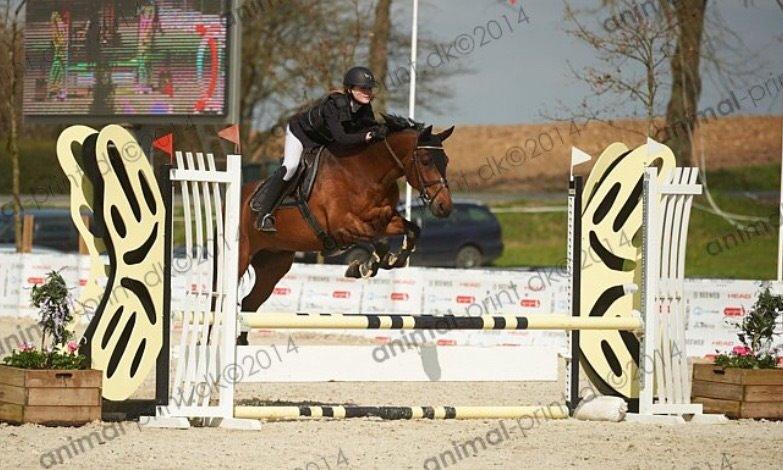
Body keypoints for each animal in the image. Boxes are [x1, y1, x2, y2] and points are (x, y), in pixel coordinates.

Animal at [239, 114, 456, 326]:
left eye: (446, 160)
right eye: (426, 160)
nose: (444, 207)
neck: (367, 173)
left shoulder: (383, 221)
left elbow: (411, 230)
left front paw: (394, 260)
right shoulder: (341, 228)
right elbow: (379, 243)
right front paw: (364, 267)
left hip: (273, 263)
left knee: (249, 303)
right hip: (243, 257)